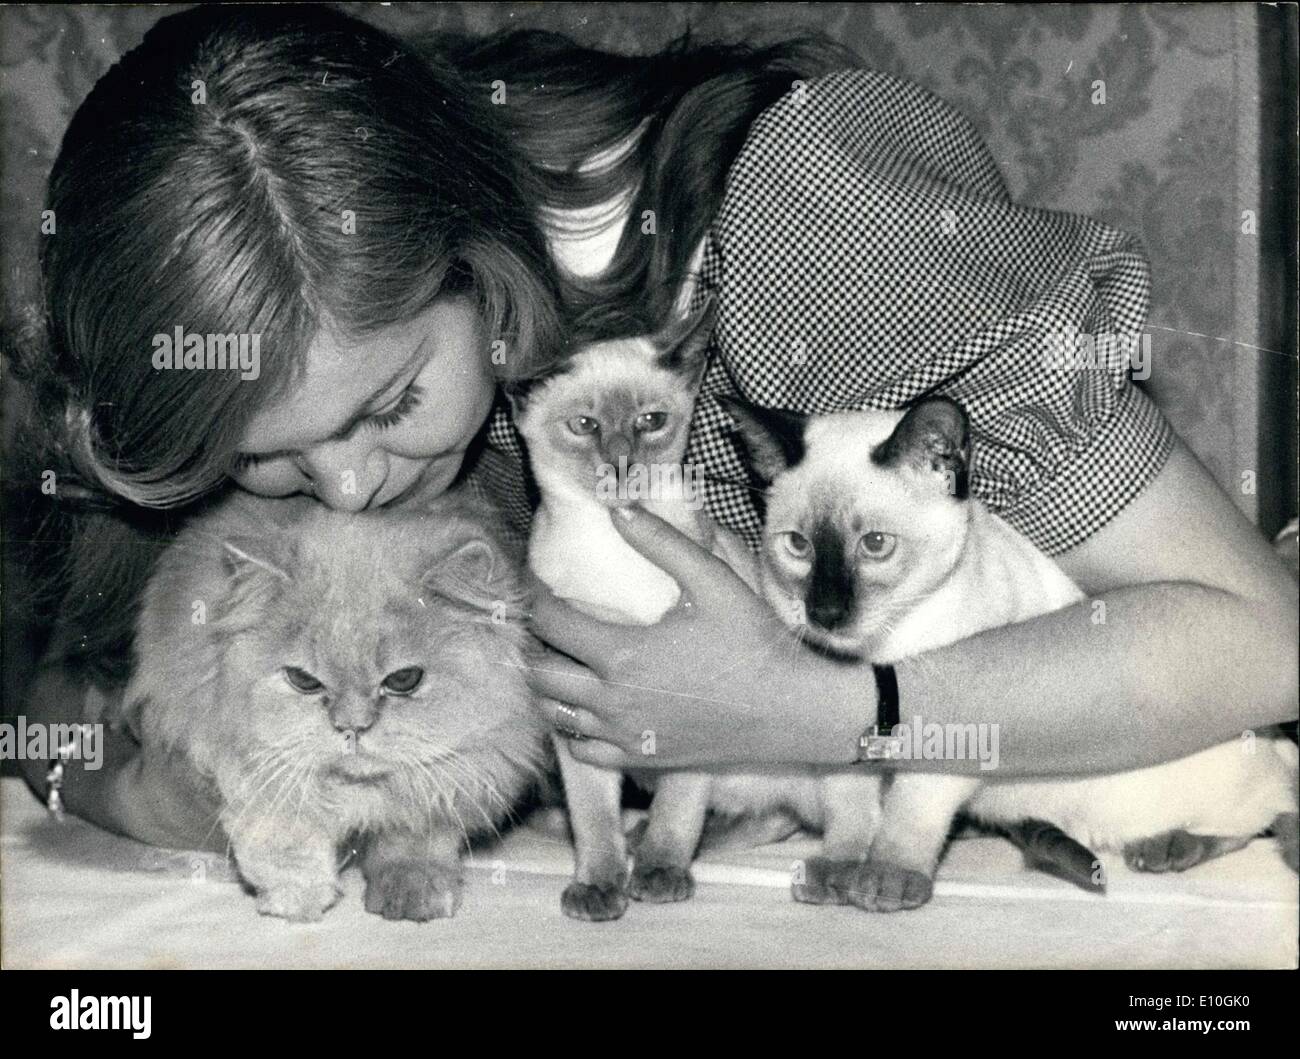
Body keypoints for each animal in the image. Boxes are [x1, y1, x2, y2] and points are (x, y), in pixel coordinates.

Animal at [119, 485, 546, 919]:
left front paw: (414, 892)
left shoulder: (455, 777)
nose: (351, 727)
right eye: (304, 681)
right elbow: (281, 832)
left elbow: (415, 839)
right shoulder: (247, 766)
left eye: (403, 680)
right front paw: (296, 898)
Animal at [506, 298, 883, 919]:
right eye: (584, 426)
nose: (621, 464)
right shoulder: (574, 716)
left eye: (651, 422)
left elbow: (676, 812)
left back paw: (831, 876)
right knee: (773, 817)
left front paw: (659, 873)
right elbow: (593, 820)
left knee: (846, 818)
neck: (612, 546)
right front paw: (600, 885)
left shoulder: (685, 713)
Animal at [722, 395, 1300, 909]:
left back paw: (1171, 846)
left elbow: (907, 816)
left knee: (1267, 810)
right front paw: (839, 869)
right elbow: (850, 812)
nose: (825, 612)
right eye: (798, 546)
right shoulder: (839, 739)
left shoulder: (950, 741)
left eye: (876, 545)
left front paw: (888, 878)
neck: (882, 650)